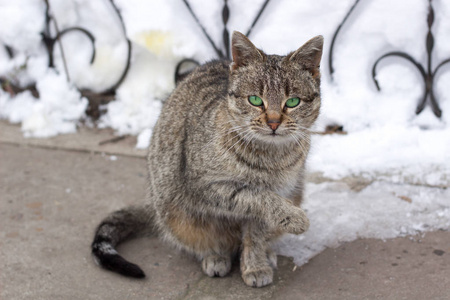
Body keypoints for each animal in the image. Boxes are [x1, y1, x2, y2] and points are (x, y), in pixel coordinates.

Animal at [92, 31, 324, 288]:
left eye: (292, 102)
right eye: (255, 100)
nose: (273, 122)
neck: (269, 157)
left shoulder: (281, 191)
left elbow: (256, 234)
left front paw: (255, 264)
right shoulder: (202, 185)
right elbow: (256, 196)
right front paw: (293, 217)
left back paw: (267, 253)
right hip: (176, 212)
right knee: (206, 240)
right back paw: (215, 256)